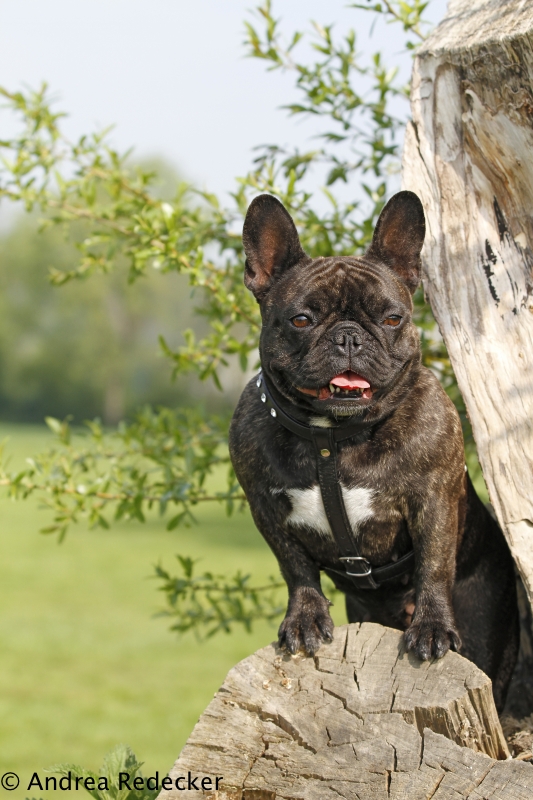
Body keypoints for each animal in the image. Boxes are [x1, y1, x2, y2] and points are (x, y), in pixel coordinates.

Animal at [228, 191, 516, 708]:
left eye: (392, 318)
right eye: (301, 319)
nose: (348, 336)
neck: (333, 437)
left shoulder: (434, 500)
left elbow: (433, 562)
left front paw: (431, 626)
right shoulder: (265, 506)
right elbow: (295, 566)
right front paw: (304, 617)